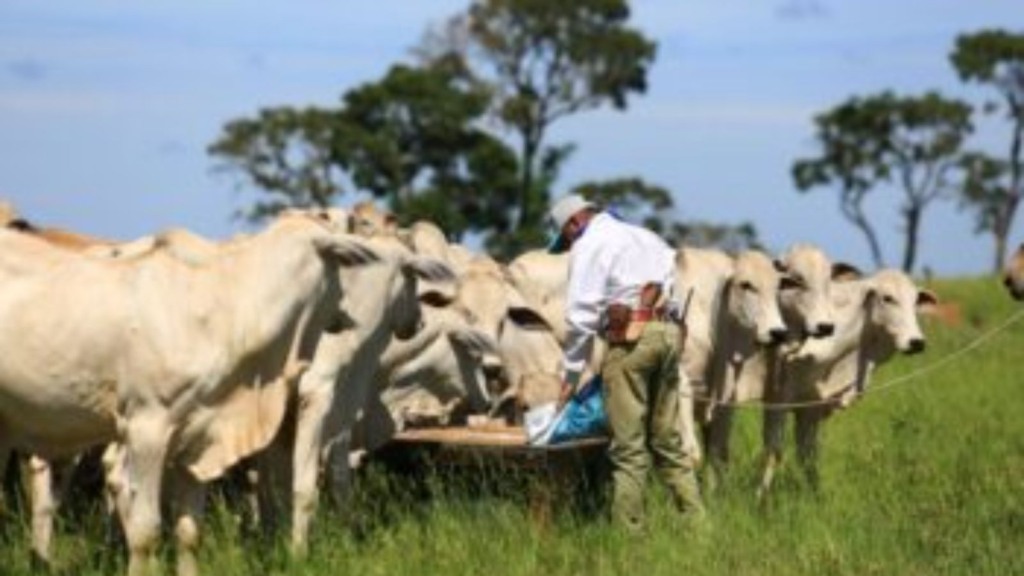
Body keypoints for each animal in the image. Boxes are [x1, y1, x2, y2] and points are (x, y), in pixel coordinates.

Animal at [0, 211, 380, 573]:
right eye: (340, 266)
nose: (347, 316)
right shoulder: (146, 429)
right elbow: (146, 531)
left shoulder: (200, 438)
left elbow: (189, 532)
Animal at [761, 268, 937, 494]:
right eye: (887, 298)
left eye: (916, 301)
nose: (917, 342)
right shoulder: (778, 399)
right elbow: (773, 451)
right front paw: (760, 499)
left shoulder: (810, 408)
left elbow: (808, 456)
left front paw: (814, 495)